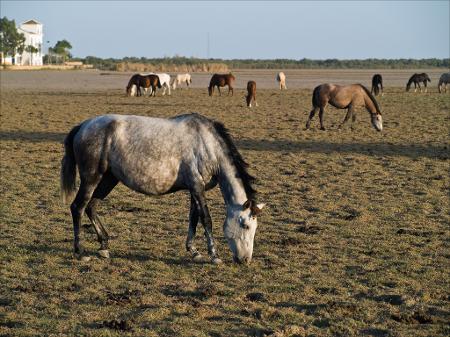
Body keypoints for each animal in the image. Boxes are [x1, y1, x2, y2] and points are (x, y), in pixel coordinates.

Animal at [59, 112, 264, 262]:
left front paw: (194, 251)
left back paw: (104, 246)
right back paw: (80, 251)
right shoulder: (197, 187)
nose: (245, 260)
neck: (207, 144)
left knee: (91, 207)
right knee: (78, 207)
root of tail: (83, 126)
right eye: (245, 225)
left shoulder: (195, 189)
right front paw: (214, 255)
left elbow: (193, 218)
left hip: (108, 179)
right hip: (91, 178)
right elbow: (206, 219)